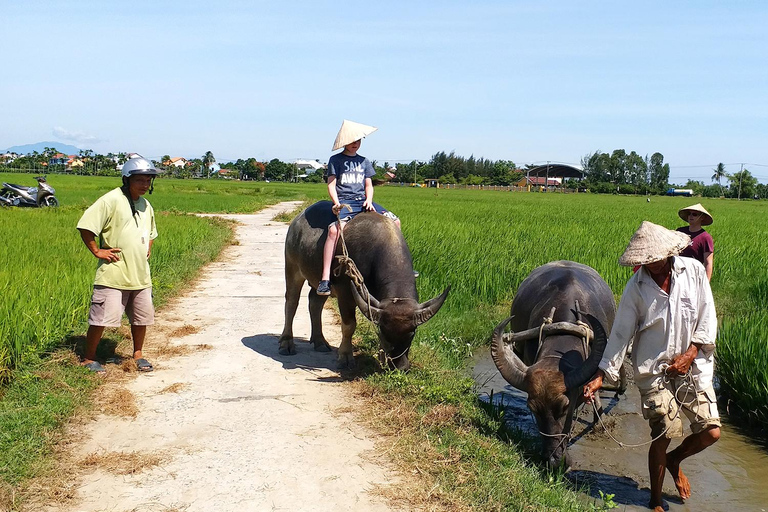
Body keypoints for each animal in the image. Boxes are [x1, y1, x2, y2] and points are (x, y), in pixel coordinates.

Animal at [280, 200, 450, 368]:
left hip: (320, 281)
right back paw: (286, 343)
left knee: (315, 302)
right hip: (292, 267)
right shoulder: (344, 292)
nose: (399, 366)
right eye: (383, 331)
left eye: (412, 332)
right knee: (291, 303)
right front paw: (345, 356)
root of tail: (296, 221)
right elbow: (349, 325)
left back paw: (320, 341)